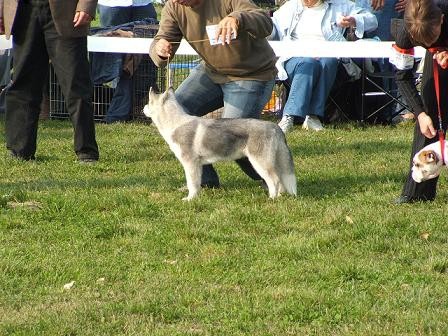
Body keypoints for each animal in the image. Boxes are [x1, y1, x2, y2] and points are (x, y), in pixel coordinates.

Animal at [144, 88, 298, 201]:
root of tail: (275, 127)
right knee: (280, 179)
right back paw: (280, 196)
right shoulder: (198, 165)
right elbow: (196, 183)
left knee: (275, 180)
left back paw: (272, 199)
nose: (143, 108)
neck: (175, 123)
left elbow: (191, 184)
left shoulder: (190, 163)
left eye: (149, 101)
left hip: (260, 162)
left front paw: (189, 199)